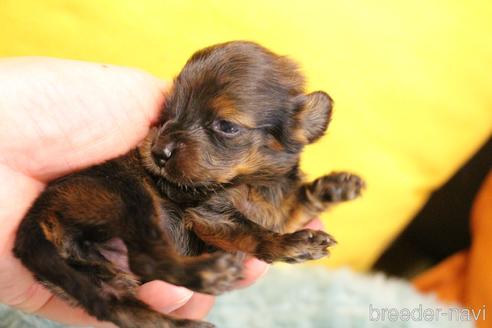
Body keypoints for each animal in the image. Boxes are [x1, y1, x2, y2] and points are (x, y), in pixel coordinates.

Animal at [13, 41, 364, 328]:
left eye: (226, 126)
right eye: (168, 112)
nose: (158, 152)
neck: (256, 182)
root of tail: (33, 219)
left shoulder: (276, 209)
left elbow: (295, 205)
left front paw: (336, 186)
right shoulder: (208, 216)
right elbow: (254, 232)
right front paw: (294, 244)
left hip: (90, 278)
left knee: (124, 311)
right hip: (128, 201)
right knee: (147, 258)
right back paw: (206, 273)